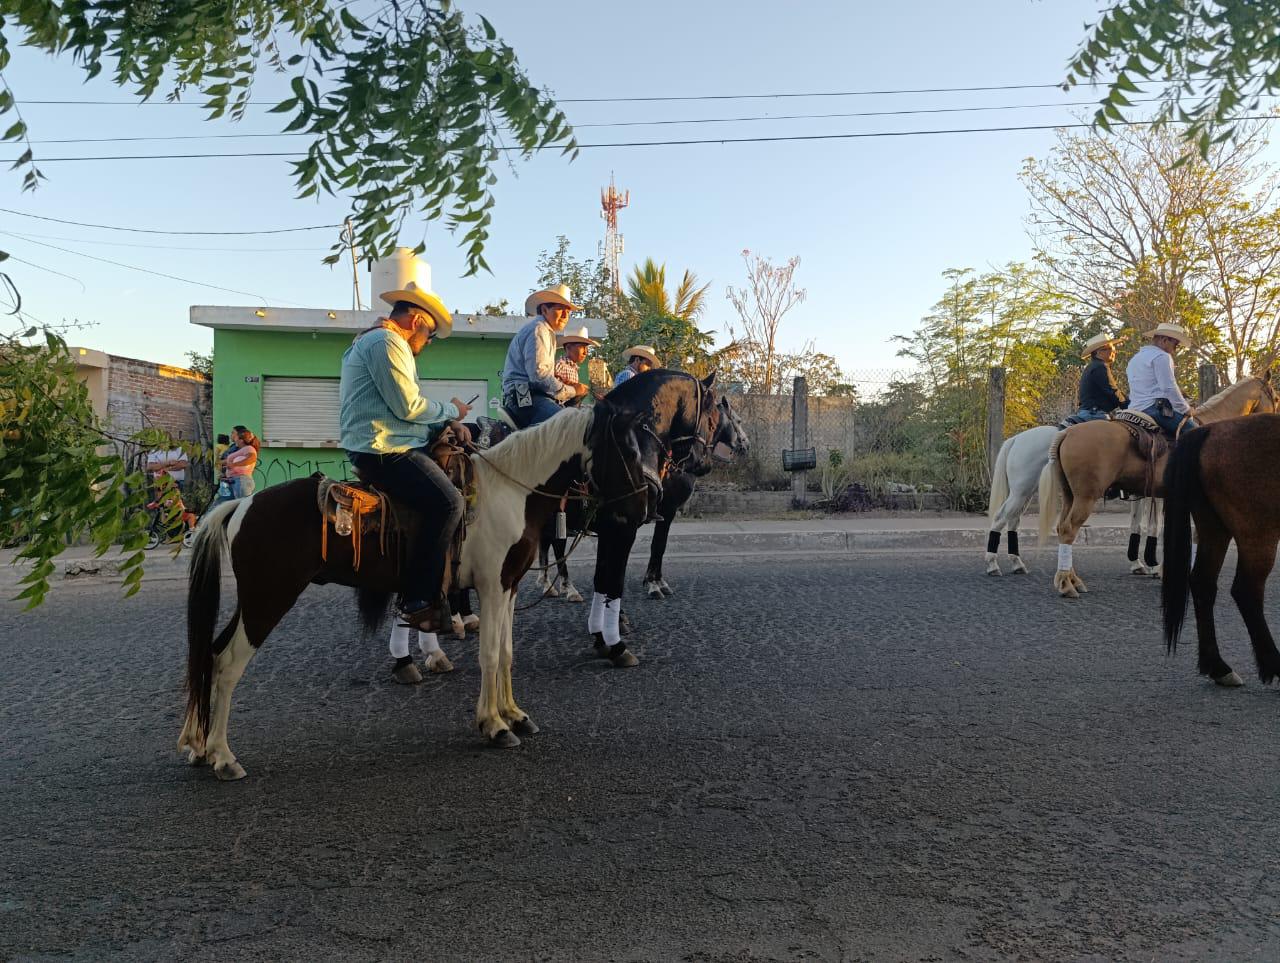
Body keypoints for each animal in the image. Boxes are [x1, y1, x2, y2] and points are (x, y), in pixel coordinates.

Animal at [983, 425, 1167, 576]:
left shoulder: (1140, 494)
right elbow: (1155, 526)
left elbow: (1137, 525)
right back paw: (992, 564)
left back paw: (1017, 563)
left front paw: (1138, 564)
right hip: (1021, 492)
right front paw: (1155, 567)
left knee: (1012, 521)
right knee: (1000, 518)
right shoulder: (1155, 495)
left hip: (1024, 494)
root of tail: (1016, 439)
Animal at [1034, 373, 1274, 594]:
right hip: (1086, 497)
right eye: (1275, 396)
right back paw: (1066, 583)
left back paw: (1072, 579)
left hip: (1070, 495)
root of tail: (1067, 432)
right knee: (1068, 529)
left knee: (1061, 527)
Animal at [1162, 417, 1280, 686]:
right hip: (1258, 534)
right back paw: (1273, 664)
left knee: (1203, 583)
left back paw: (1217, 666)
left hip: (1213, 528)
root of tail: (1211, 430)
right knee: (1246, 592)